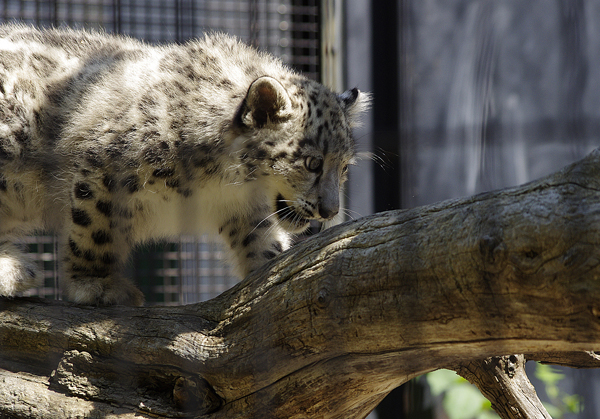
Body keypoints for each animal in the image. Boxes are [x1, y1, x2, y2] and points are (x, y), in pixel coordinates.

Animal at [0, 25, 366, 306]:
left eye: (345, 167)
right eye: (312, 162)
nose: (330, 210)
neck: (221, 184)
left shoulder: (245, 209)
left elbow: (263, 242)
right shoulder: (104, 169)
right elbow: (96, 231)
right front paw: (96, 286)